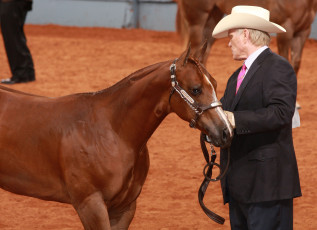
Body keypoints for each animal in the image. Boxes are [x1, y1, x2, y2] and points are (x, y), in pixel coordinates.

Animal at [0, 45, 232, 229]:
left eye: (215, 84)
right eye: (196, 89)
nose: (225, 131)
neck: (113, 132)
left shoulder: (125, 207)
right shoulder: (91, 205)